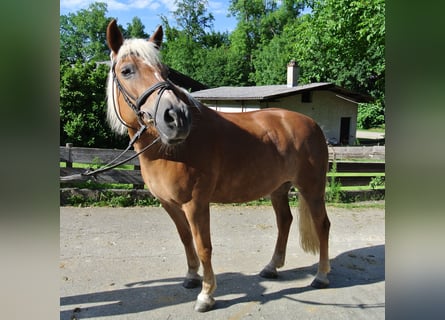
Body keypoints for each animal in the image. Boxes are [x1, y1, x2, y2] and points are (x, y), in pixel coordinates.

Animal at [105, 20, 330, 312]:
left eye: (164, 71)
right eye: (127, 71)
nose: (176, 117)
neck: (172, 151)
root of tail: (312, 124)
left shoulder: (196, 204)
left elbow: (204, 246)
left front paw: (206, 295)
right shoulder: (170, 204)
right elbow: (186, 239)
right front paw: (191, 277)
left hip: (312, 188)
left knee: (322, 225)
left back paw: (322, 276)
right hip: (279, 189)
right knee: (285, 221)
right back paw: (271, 267)